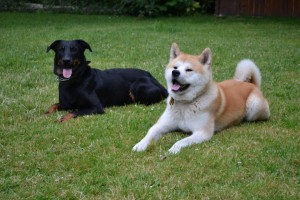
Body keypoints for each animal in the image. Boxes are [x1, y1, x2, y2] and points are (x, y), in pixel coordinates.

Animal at [132, 43, 270, 154]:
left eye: (189, 70)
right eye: (175, 67)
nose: (175, 73)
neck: (185, 104)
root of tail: (252, 84)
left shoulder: (202, 132)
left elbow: (181, 141)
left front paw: (174, 149)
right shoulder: (162, 125)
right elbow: (150, 132)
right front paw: (140, 145)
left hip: (254, 106)